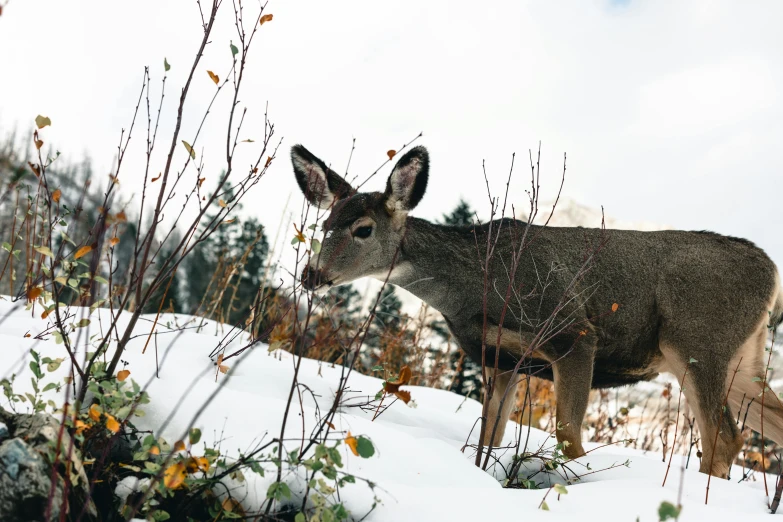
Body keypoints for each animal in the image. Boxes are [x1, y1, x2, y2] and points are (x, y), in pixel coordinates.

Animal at [290, 142, 783, 476]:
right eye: (324, 223)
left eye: (363, 229)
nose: (310, 275)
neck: (472, 289)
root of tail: (771, 271)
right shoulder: (500, 358)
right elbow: (490, 435)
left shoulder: (574, 334)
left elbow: (569, 439)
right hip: (742, 362)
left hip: (697, 341)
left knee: (724, 437)